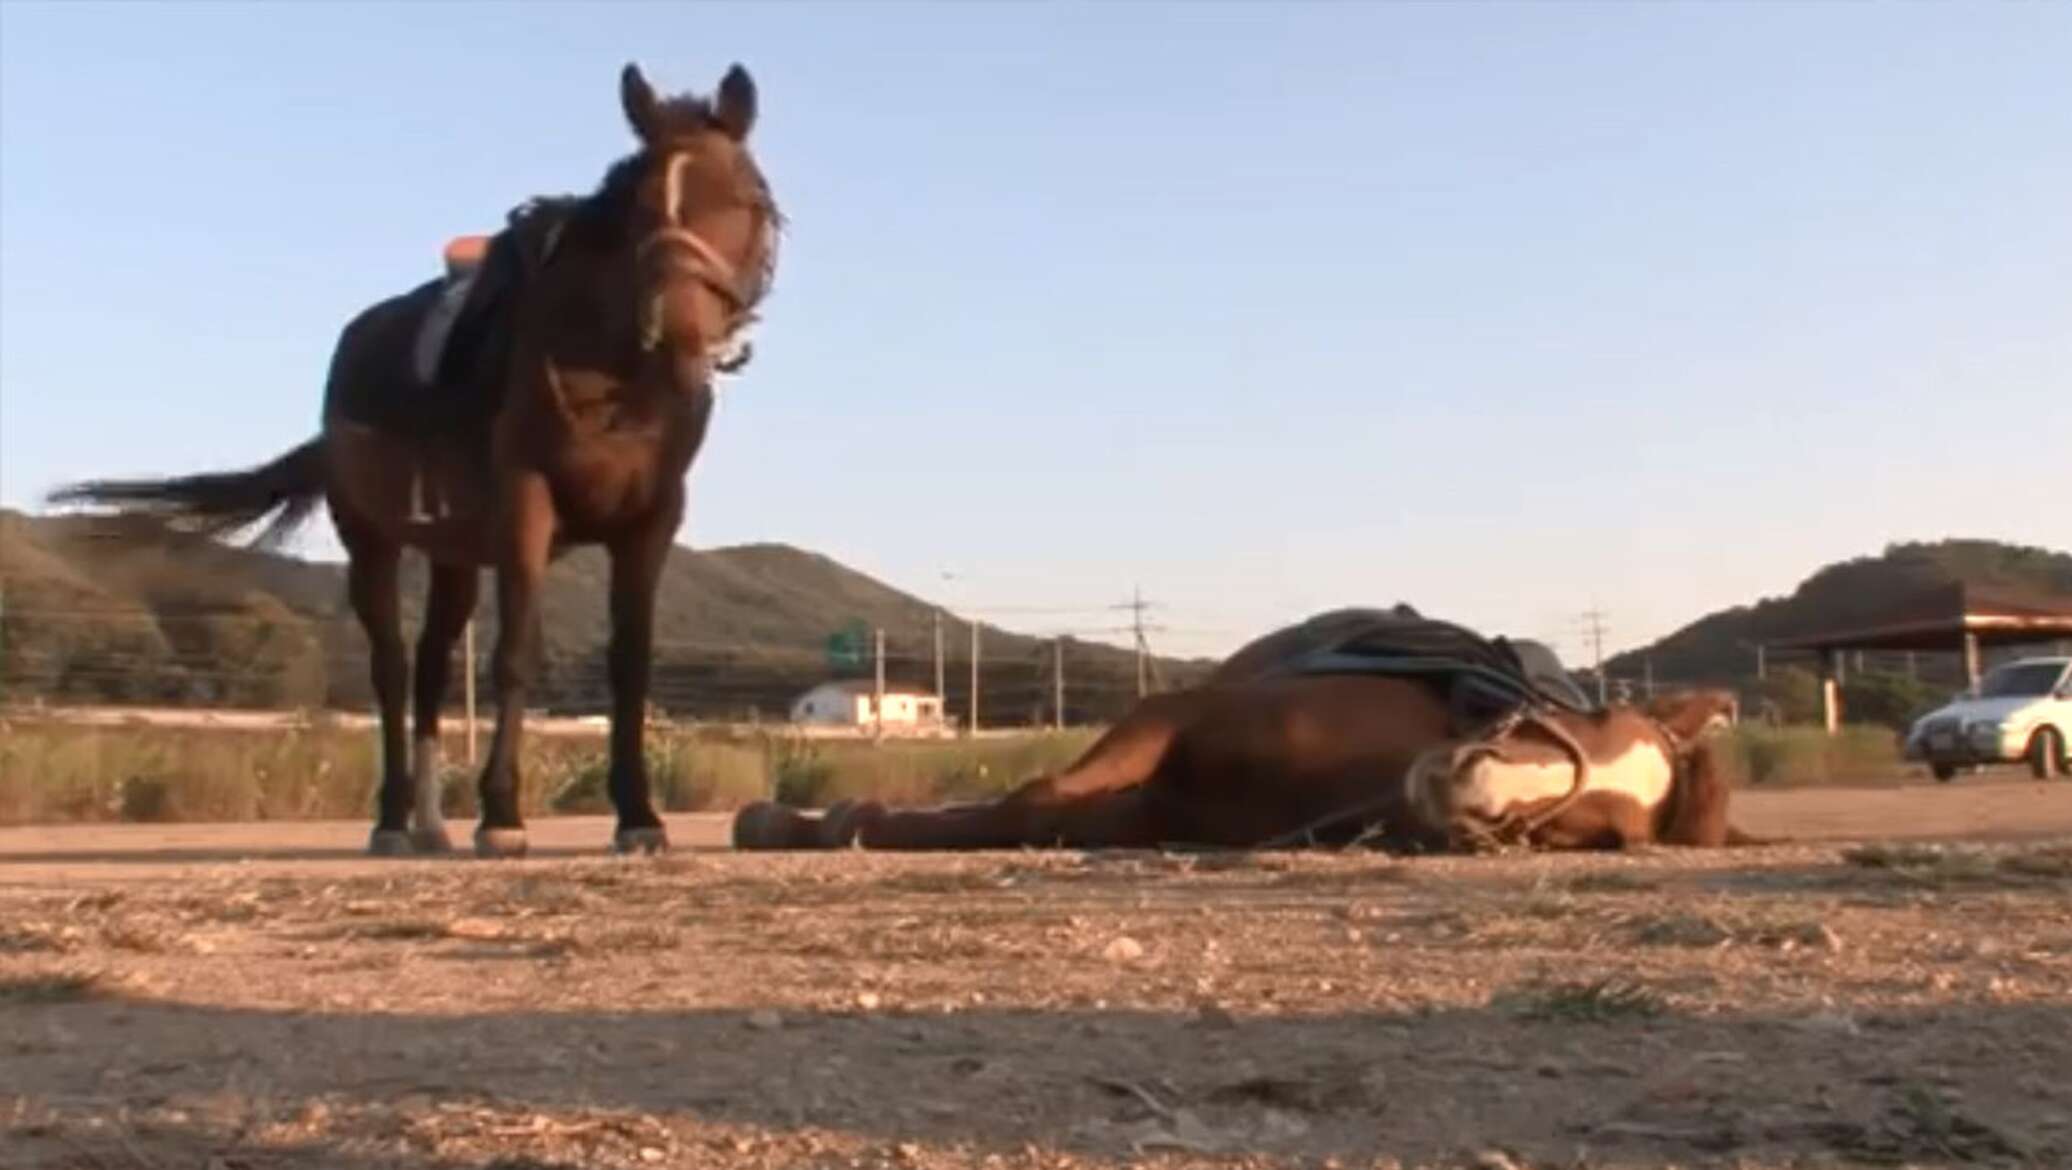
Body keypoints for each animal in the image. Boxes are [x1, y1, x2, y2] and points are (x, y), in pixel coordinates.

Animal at [50, 61, 779, 857]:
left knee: (431, 668)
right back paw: (394, 819)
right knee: (394, 672)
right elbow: (515, 655)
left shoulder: (650, 522)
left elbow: (630, 668)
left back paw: (431, 824)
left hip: (454, 557)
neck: (609, 374)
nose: (677, 336)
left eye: (745, 199)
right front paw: (502, 815)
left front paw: (639, 816)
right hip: (371, 542)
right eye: (640, 211)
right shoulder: (527, 505)